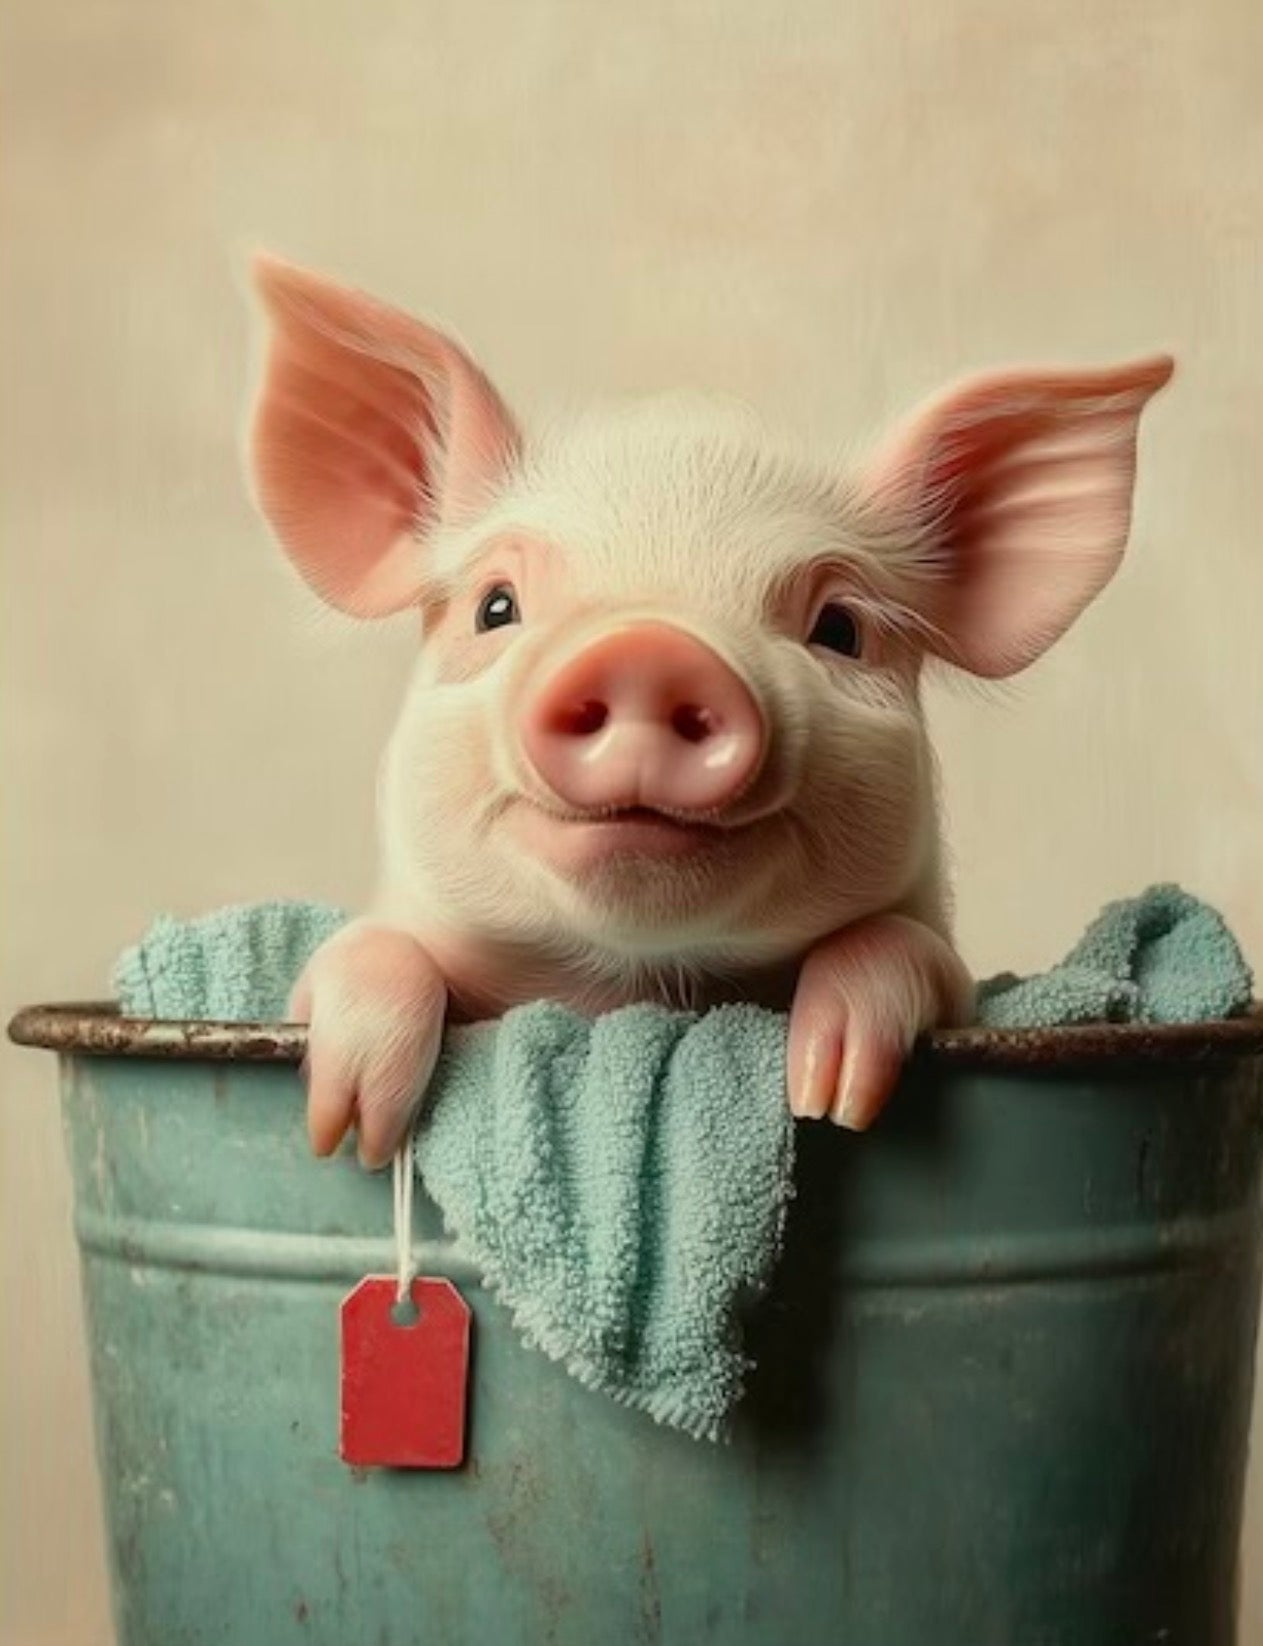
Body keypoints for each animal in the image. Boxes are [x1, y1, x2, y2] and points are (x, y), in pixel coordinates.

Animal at [245, 254, 1172, 1169]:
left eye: (840, 628)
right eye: (495, 606)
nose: (648, 649)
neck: (634, 988)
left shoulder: (957, 978)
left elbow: (904, 954)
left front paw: (830, 1093)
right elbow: (363, 952)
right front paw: (347, 1128)